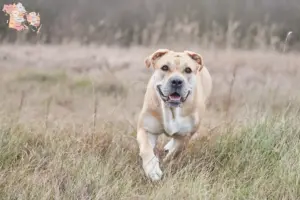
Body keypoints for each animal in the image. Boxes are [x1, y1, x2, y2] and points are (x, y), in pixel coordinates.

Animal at [137, 48, 212, 181]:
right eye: (165, 67)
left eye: (188, 70)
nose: (176, 81)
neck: (171, 110)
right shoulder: (146, 129)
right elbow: (146, 149)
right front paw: (153, 170)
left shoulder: (185, 135)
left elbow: (175, 152)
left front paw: (165, 161)